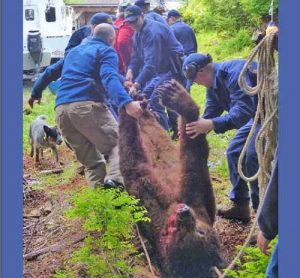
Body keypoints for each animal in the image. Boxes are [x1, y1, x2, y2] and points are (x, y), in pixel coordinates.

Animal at [118, 79, 224, 276]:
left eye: (199, 232)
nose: (185, 213)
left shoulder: (153, 205)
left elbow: (134, 161)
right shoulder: (195, 198)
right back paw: (141, 100)